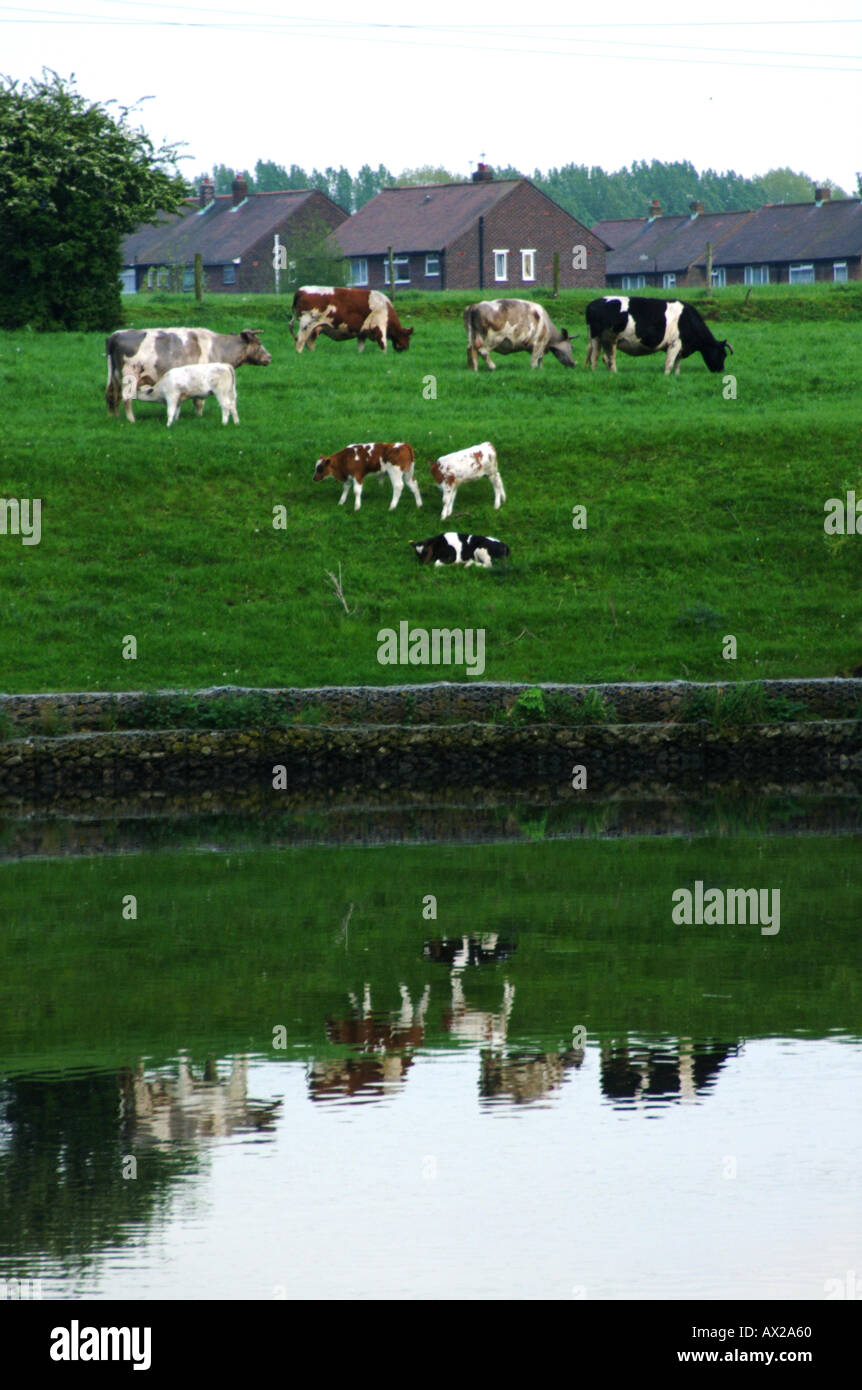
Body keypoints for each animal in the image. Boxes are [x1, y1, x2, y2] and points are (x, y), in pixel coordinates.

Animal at [581, 296, 728, 375]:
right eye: (723, 354)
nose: (721, 370)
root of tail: (592, 304)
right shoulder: (675, 343)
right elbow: (669, 363)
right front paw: (666, 376)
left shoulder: (680, 347)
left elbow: (677, 364)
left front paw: (676, 376)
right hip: (607, 339)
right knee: (605, 358)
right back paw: (611, 373)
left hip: (599, 339)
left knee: (598, 357)